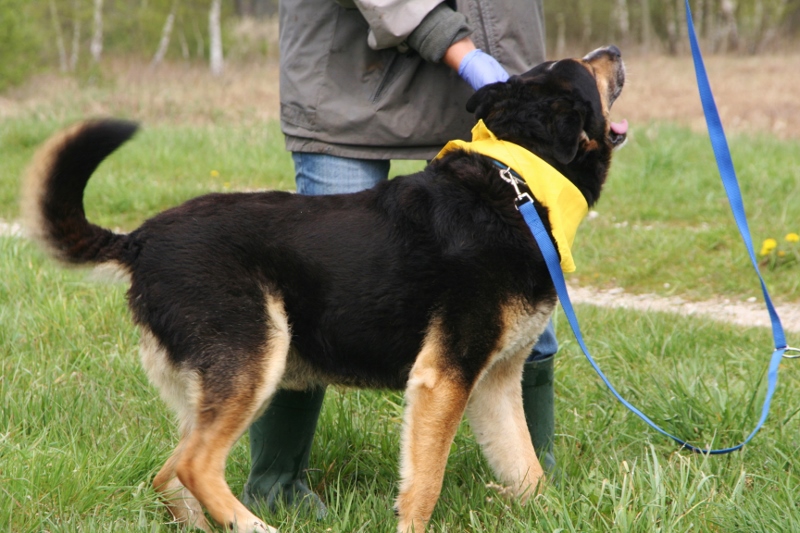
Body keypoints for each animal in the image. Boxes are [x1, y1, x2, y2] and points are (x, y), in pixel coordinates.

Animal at [21, 46, 626, 533]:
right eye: (583, 67)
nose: (614, 50)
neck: (519, 181)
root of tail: (140, 240)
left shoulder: (493, 383)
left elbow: (527, 471)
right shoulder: (443, 379)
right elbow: (425, 484)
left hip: (218, 385)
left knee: (169, 473)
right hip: (256, 358)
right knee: (195, 467)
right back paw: (254, 525)